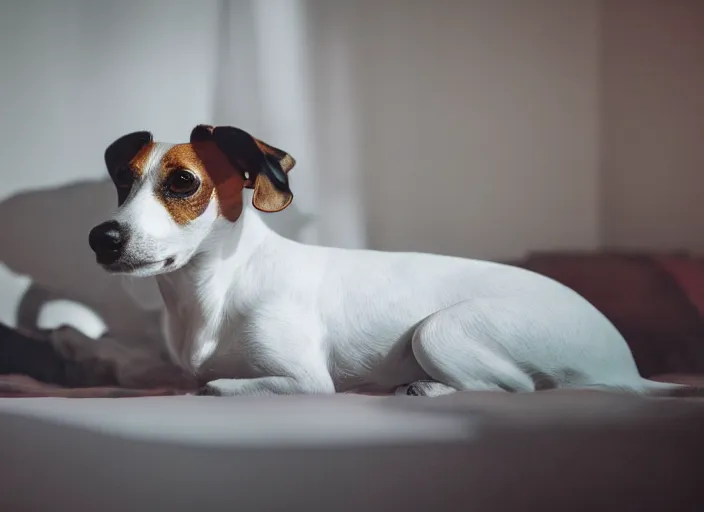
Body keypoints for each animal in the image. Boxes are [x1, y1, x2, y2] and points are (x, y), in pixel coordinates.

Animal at [86, 124, 688, 396]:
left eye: (184, 182)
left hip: (440, 331)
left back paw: (427, 388)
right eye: (123, 181)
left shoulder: (304, 380)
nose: (101, 238)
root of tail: (627, 368)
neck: (218, 287)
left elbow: (210, 387)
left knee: (519, 389)